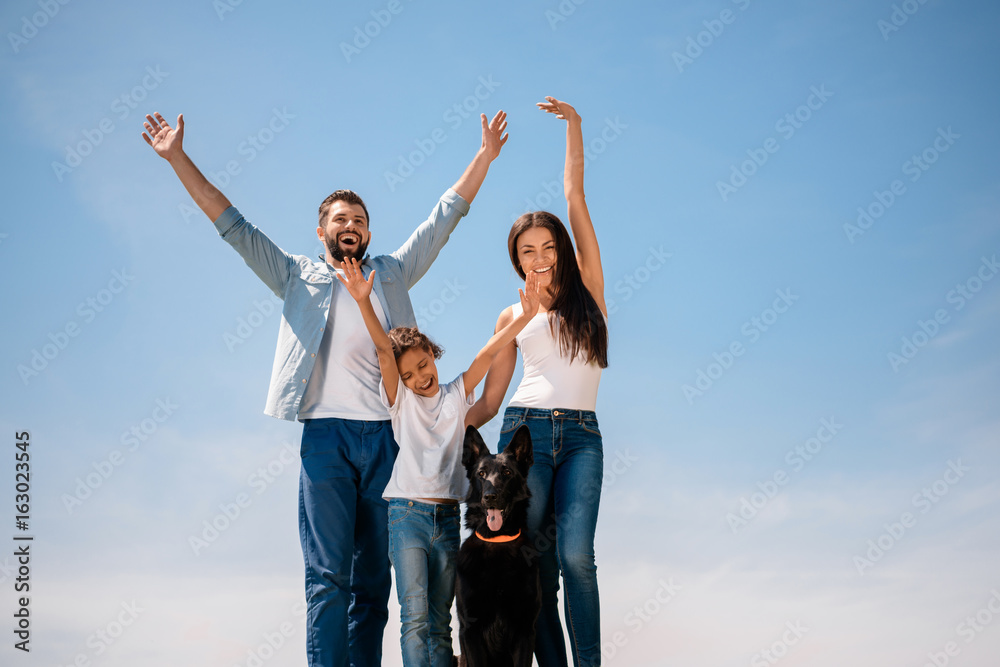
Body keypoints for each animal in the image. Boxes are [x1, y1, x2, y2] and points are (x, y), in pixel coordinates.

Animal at [456, 426, 540, 664]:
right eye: (481, 474)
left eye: (507, 473)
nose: (490, 497)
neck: (497, 540)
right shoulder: (470, 630)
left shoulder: (525, 629)